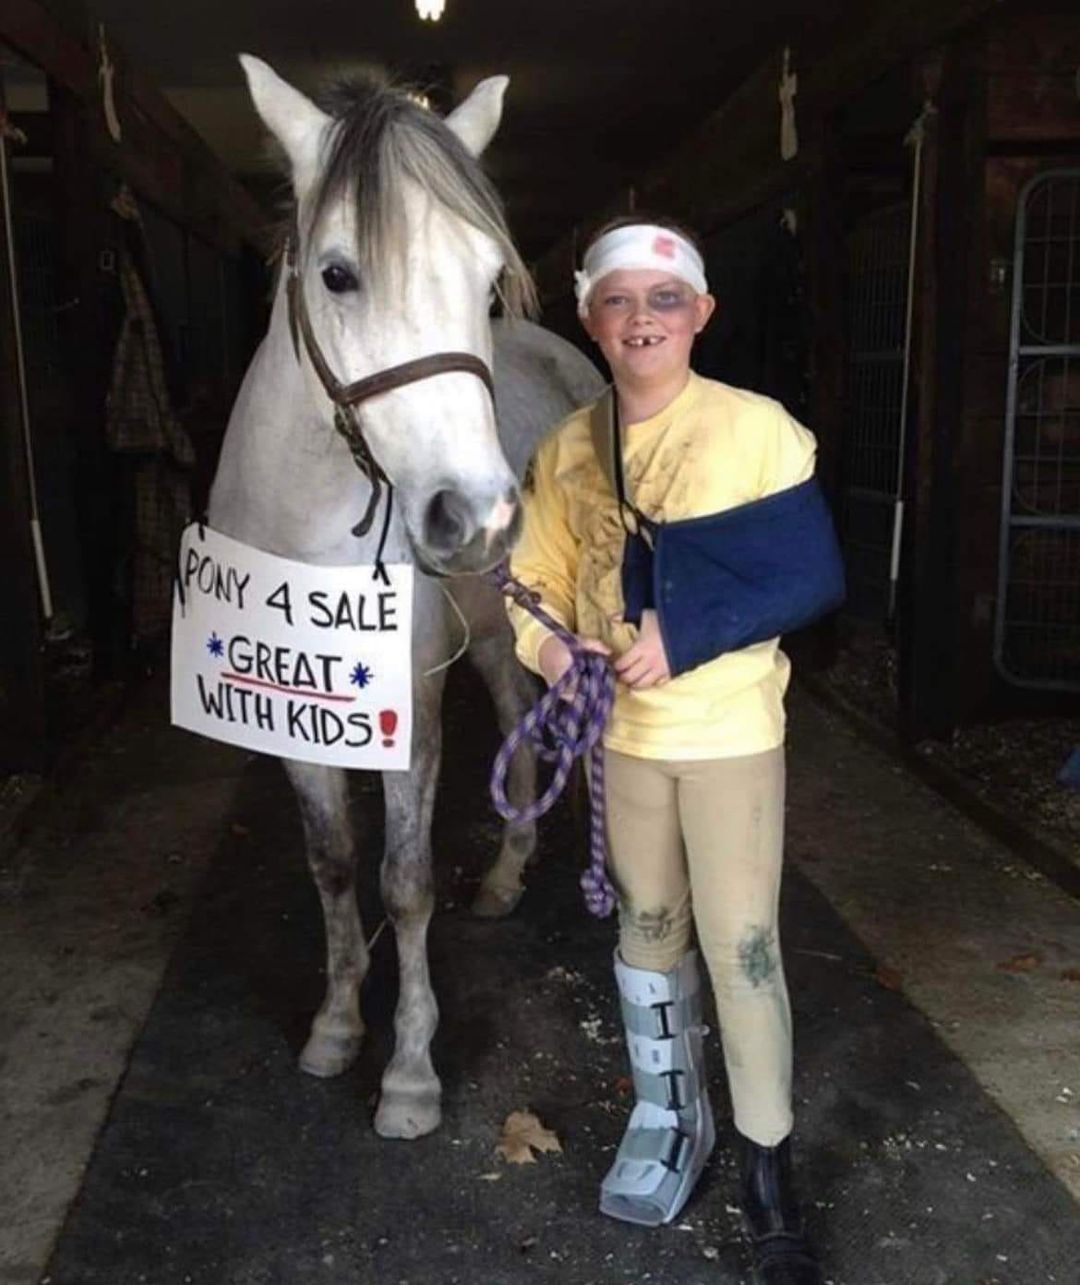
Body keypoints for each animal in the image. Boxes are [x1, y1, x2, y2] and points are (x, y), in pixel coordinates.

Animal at [207, 56, 605, 1139]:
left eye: (485, 276)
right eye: (338, 273)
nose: (481, 515)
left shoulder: (411, 715)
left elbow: (408, 878)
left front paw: (412, 1072)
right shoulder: (296, 717)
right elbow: (335, 863)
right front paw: (338, 1024)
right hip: (493, 630)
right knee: (515, 711)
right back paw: (507, 875)